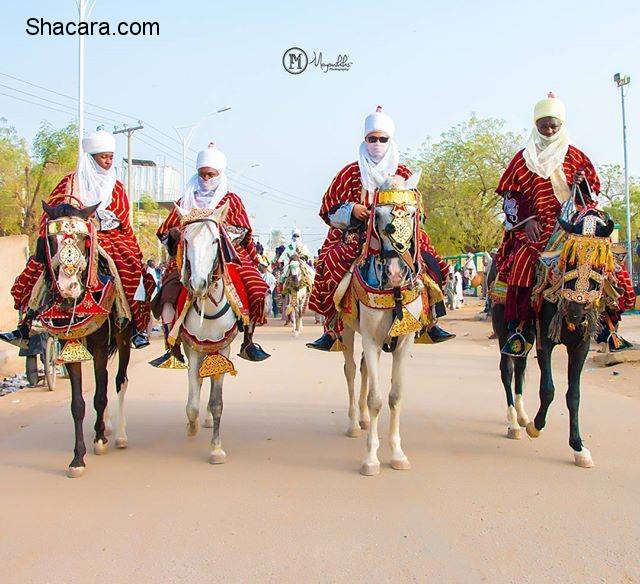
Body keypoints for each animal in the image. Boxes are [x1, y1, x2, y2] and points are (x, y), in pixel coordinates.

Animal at [172, 203, 238, 464]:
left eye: (214, 241)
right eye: (186, 240)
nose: (198, 284)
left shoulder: (223, 348)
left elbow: (217, 402)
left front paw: (216, 449)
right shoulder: (193, 347)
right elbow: (192, 404)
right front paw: (192, 427)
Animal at [338, 173, 422, 474]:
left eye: (412, 214)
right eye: (380, 215)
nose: (396, 273)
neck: (394, 291)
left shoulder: (405, 341)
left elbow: (396, 396)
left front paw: (397, 454)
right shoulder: (371, 339)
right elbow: (376, 399)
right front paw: (371, 459)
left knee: (362, 368)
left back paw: (362, 420)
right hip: (347, 330)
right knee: (351, 369)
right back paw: (354, 423)